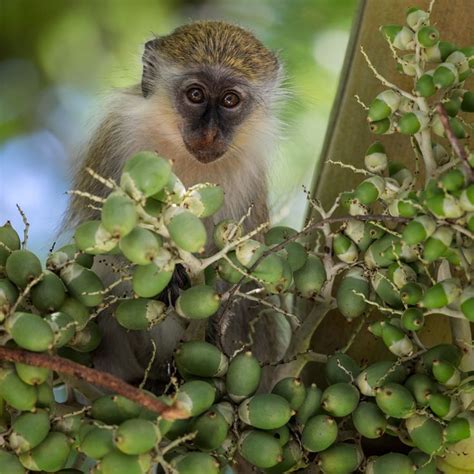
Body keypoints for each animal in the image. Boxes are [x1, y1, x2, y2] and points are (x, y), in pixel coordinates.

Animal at [64, 21, 284, 386]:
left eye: (230, 100)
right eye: (196, 95)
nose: (209, 133)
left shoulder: (249, 173)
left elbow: (241, 265)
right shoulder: (117, 134)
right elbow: (96, 234)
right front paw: (170, 280)